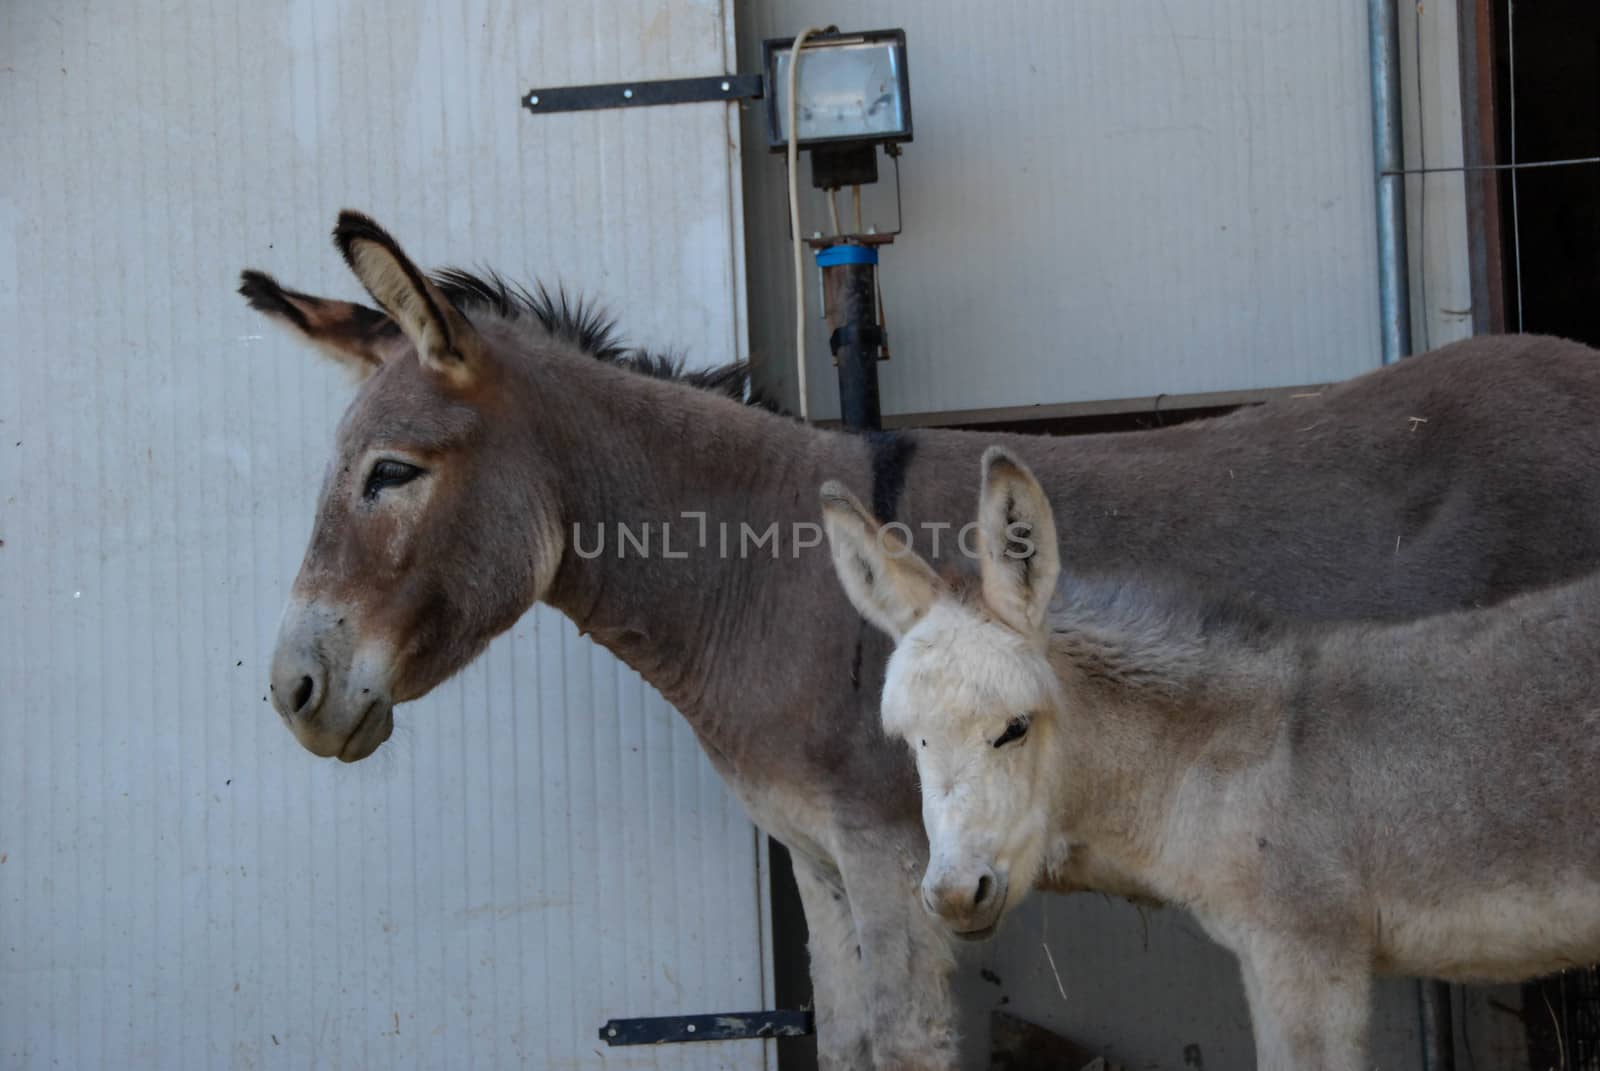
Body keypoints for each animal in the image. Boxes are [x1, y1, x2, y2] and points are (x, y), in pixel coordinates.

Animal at [825, 445, 1600, 1069]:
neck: (1242, 757)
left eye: (1015, 729)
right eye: (912, 742)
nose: (956, 896)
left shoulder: (1307, 957)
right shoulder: (1264, 961)